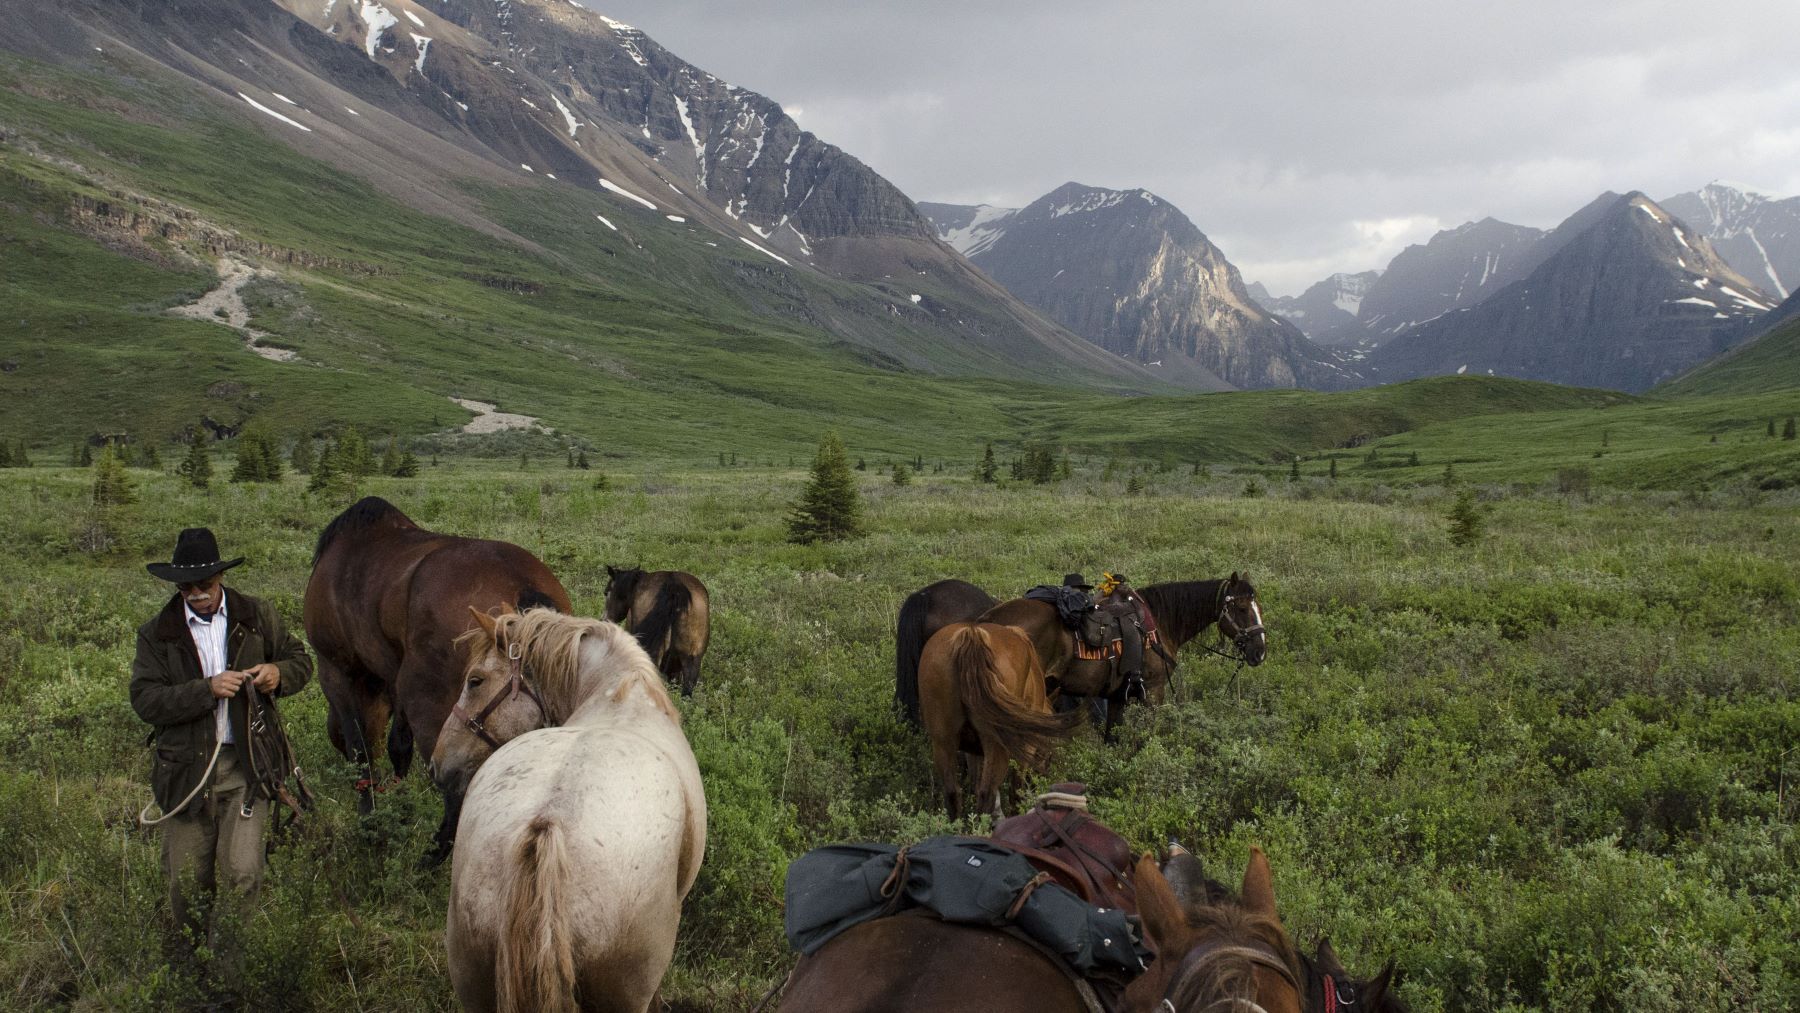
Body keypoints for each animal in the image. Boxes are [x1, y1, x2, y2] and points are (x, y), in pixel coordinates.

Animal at [303, 496, 571, 863]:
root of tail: (523, 584)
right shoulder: (395, 682)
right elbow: (398, 747)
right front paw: (400, 810)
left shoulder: (336, 670)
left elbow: (362, 751)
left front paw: (372, 824)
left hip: (436, 717)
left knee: (457, 796)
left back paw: (429, 860)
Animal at [917, 622, 1080, 820]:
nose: (1043, 775)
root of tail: (972, 634)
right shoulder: (1025, 747)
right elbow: (1016, 790)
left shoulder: (973, 752)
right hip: (996, 745)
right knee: (986, 793)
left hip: (943, 742)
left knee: (953, 793)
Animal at [980, 572, 1269, 738]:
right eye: (1242, 608)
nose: (1260, 651)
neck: (1159, 624)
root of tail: (988, 620)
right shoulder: (1153, 691)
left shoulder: (1118, 696)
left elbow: (1113, 738)